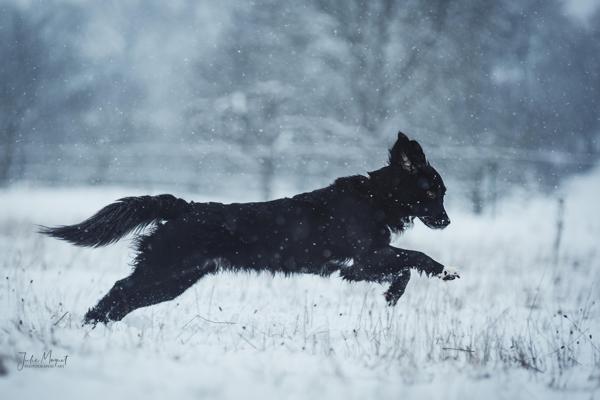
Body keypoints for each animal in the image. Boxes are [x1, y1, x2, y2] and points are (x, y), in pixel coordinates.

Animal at [39, 132, 458, 324]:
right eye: (431, 191)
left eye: (442, 192)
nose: (447, 221)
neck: (374, 199)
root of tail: (183, 207)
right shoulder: (364, 257)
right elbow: (415, 258)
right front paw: (443, 272)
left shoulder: (356, 268)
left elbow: (403, 268)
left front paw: (391, 296)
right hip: (164, 270)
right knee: (120, 289)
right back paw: (88, 325)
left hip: (173, 280)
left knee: (122, 297)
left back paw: (94, 326)